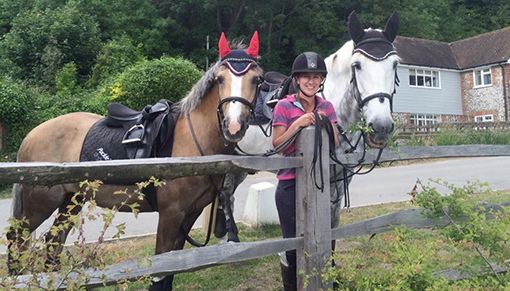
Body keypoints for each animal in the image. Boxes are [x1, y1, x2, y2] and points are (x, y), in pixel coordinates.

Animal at [5, 30, 262, 290]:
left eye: (257, 80)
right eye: (219, 79)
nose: (234, 126)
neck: (193, 142)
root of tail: (32, 134)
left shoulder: (191, 213)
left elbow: (173, 267)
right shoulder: (171, 214)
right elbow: (161, 269)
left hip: (71, 200)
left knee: (53, 242)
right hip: (40, 203)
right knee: (17, 238)